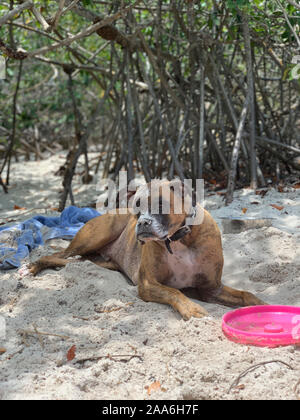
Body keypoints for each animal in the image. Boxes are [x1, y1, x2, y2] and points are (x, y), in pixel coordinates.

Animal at [29, 179, 264, 320]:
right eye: (137, 207)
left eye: (160, 205)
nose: (142, 222)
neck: (178, 240)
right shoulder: (149, 284)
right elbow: (175, 292)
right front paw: (193, 309)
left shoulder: (211, 289)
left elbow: (247, 295)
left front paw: (262, 305)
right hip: (95, 236)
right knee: (55, 254)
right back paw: (31, 267)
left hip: (97, 260)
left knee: (68, 261)